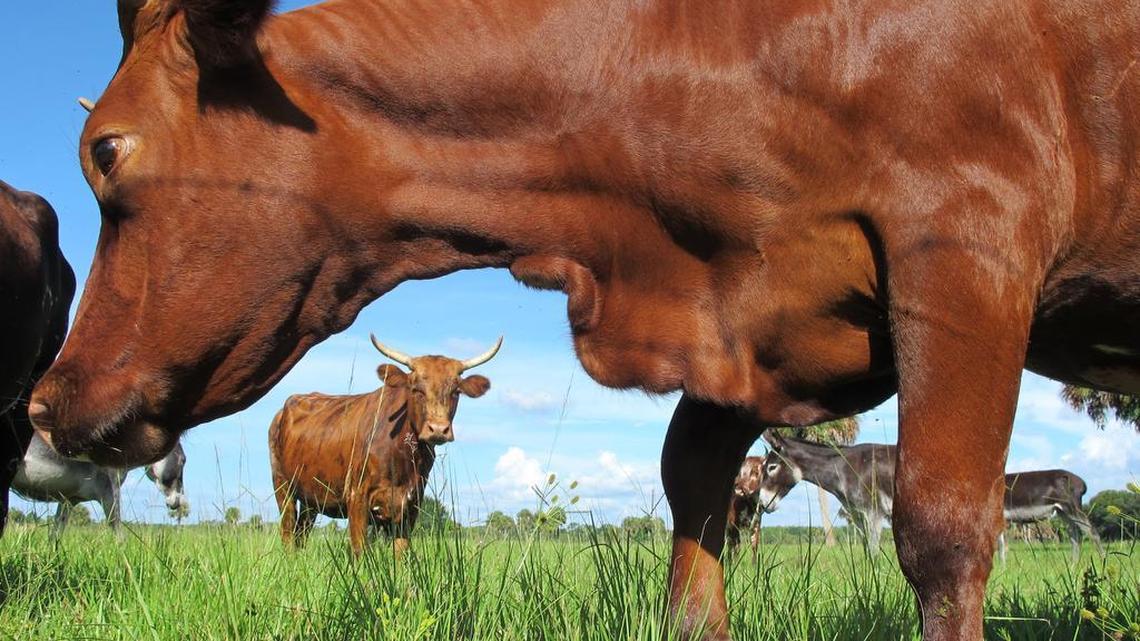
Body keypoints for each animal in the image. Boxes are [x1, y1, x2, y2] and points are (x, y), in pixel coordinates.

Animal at [10, 433, 189, 536]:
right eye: (183, 460)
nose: (177, 503)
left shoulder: (68, 500)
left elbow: (55, 536)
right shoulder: (110, 494)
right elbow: (119, 536)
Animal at [269, 335, 498, 555]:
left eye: (456, 391)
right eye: (416, 389)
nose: (438, 429)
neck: (402, 457)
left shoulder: (410, 505)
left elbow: (400, 553)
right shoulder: (357, 497)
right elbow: (360, 551)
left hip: (311, 498)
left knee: (301, 532)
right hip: (282, 486)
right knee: (288, 531)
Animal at [758, 435, 1101, 562]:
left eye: (771, 467)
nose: (762, 504)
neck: (844, 466)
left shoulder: (872, 514)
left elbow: (872, 553)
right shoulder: (859, 517)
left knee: (1091, 531)